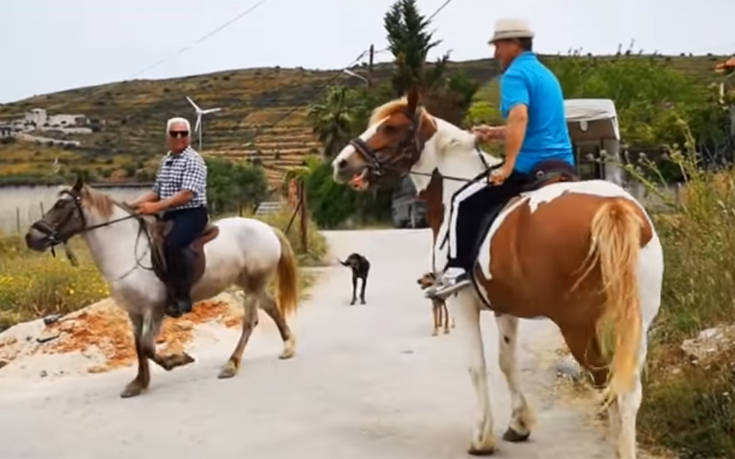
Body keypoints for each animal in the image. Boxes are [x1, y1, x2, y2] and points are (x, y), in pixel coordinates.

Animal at [26, 180, 300, 398]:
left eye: (61, 205)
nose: (31, 238)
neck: (123, 248)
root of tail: (266, 229)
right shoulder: (134, 312)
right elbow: (138, 346)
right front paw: (139, 383)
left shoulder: (154, 309)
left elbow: (148, 347)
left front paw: (178, 360)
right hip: (250, 283)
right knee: (271, 307)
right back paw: (288, 347)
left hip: (253, 285)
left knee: (250, 322)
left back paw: (231, 364)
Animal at [330, 90, 664, 459]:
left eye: (390, 127)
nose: (341, 164)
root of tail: (614, 207)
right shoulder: (505, 307)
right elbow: (507, 362)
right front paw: (519, 424)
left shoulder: (461, 301)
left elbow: (477, 366)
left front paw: (482, 438)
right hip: (635, 324)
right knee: (628, 390)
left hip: (578, 326)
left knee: (609, 385)